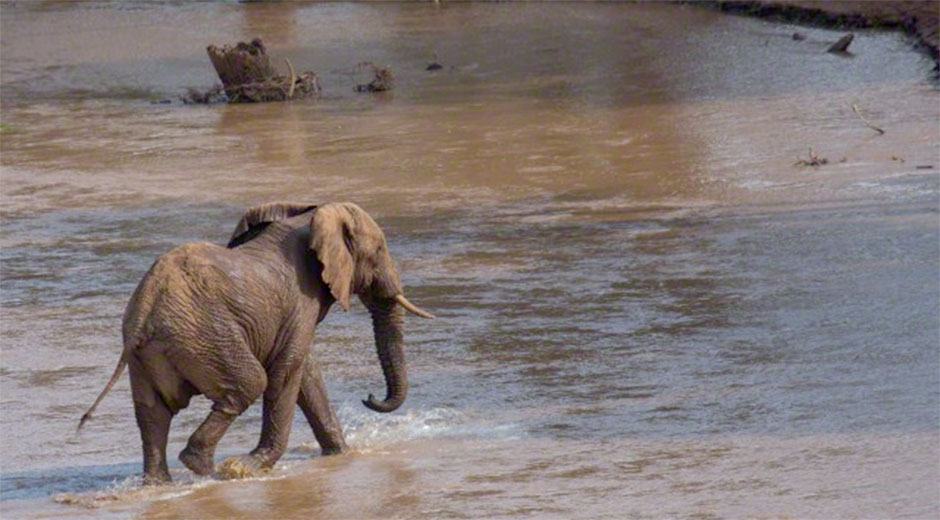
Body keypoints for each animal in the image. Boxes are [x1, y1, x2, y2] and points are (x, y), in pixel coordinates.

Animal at [78, 202, 434, 484]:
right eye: (379, 252)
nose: (369, 397)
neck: (313, 215)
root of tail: (144, 308)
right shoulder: (300, 299)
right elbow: (287, 372)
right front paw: (251, 466)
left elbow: (305, 373)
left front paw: (342, 455)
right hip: (205, 336)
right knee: (249, 383)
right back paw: (210, 469)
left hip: (151, 353)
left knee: (153, 413)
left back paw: (158, 484)